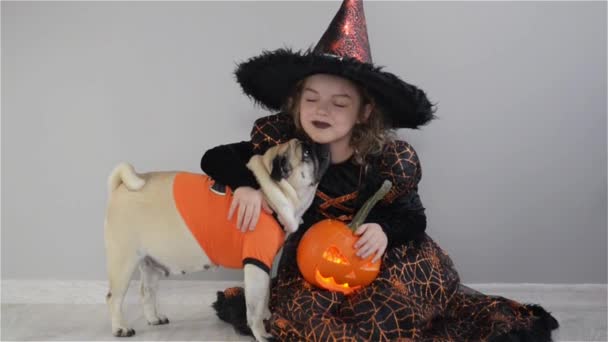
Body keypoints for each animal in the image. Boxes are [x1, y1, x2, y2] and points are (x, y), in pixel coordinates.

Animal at [105, 140, 332, 342]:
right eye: (306, 153)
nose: (319, 145)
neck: (271, 192)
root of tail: (120, 187)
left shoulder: (262, 267)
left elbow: (264, 296)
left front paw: (268, 314)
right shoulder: (257, 264)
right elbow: (254, 307)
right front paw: (262, 333)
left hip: (152, 263)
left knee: (147, 292)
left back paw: (154, 318)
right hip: (123, 261)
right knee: (113, 298)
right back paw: (120, 328)